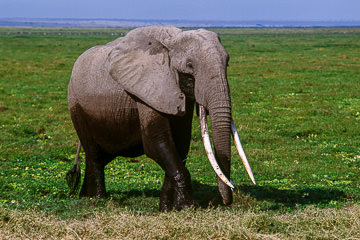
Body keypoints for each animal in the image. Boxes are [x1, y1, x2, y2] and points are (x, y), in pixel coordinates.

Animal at [66, 25, 255, 211]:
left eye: (227, 62)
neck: (171, 42)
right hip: (76, 104)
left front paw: (168, 208)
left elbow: (181, 143)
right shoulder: (148, 89)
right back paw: (97, 198)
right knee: (94, 155)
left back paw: (85, 195)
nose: (227, 201)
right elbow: (156, 143)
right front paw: (188, 206)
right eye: (189, 65)